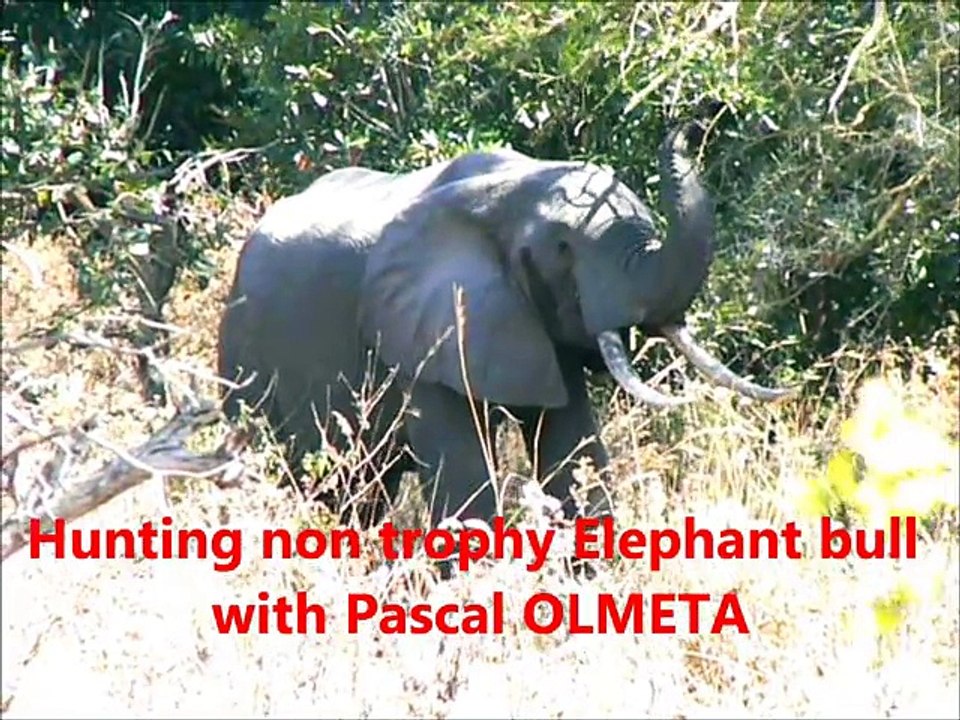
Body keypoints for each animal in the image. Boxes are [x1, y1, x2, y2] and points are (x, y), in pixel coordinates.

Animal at [216, 117, 792, 529]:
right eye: (562, 250)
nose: (693, 123)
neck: (507, 190)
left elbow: (574, 454)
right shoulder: (424, 332)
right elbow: (466, 484)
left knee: (360, 493)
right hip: (246, 363)